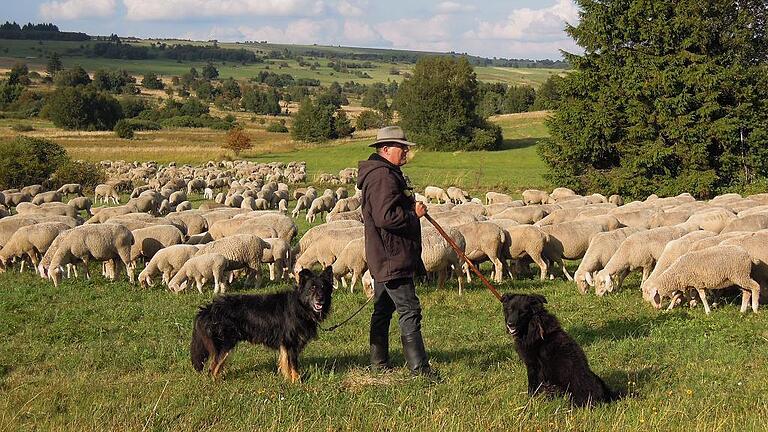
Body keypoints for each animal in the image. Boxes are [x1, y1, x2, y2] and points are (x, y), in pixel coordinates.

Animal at [190, 264, 332, 380]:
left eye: (324, 287)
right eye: (312, 288)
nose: (320, 299)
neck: (300, 306)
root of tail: (208, 309)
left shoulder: (285, 345)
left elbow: (285, 363)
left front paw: (287, 380)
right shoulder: (290, 343)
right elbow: (293, 365)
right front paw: (297, 382)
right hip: (225, 344)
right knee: (213, 368)